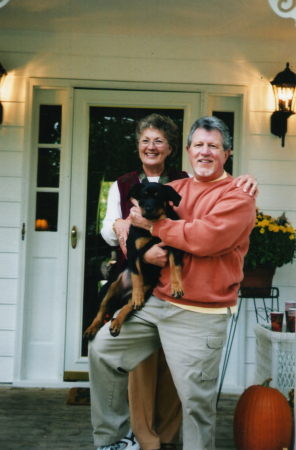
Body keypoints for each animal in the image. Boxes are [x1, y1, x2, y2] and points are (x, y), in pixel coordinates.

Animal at [83, 181, 184, 340]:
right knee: (100, 313)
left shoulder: (175, 248)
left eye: (158, 197)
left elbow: (176, 268)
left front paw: (177, 287)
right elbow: (137, 276)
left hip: (146, 291)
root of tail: (123, 296)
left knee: (127, 307)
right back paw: (91, 329)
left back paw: (116, 324)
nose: (148, 209)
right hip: (109, 288)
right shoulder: (133, 252)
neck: (153, 224)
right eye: (143, 197)